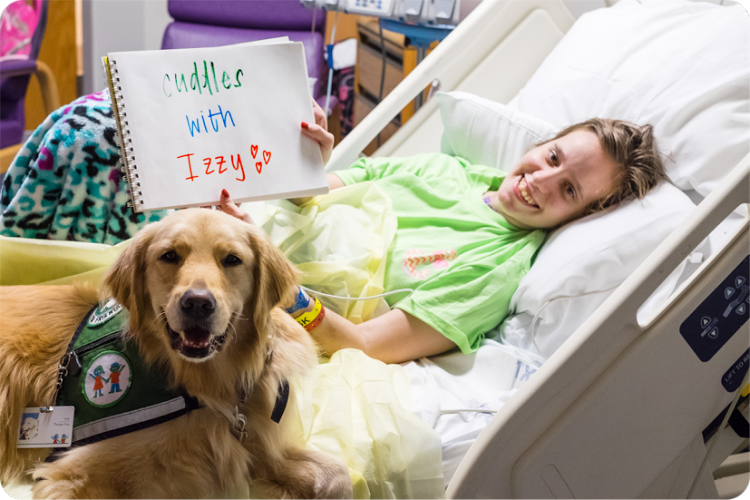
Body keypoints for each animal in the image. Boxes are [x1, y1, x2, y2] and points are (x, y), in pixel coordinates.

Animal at [0, 210, 356, 500]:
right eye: (170, 256)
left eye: (232, 259)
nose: (197, 303)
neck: (209, 386)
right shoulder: (72, 475)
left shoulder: (256, 444)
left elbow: (339, 477)